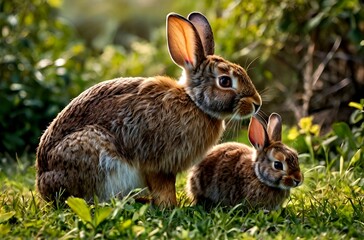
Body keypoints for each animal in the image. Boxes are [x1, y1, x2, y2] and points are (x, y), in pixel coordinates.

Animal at [35, 11, 262, 206]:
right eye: (224, 81)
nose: (257, 103)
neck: (193, 101)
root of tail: (42, 182)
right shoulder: (159, 163)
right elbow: (163, 188)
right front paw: (170, 207)